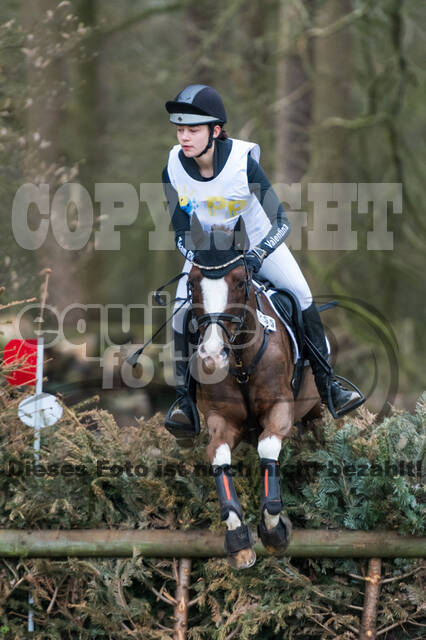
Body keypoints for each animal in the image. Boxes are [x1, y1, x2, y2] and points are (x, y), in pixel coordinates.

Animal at [185, 218, 322, 568]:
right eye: (192, 283)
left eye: (239, 281)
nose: (211, 356)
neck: (239, 360)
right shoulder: (221, 420)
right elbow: (218, 457)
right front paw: (238, 538)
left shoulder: (281, 408)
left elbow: (268, 447)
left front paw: (274, 529)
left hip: (314, 409)